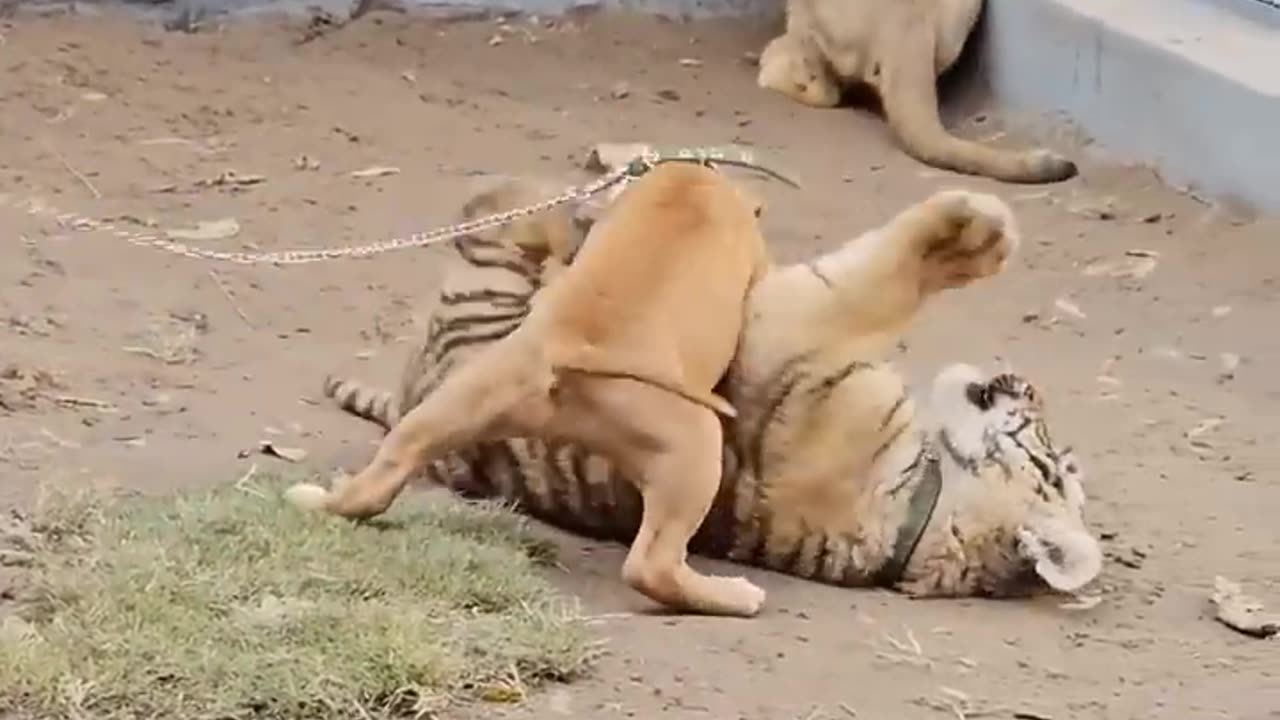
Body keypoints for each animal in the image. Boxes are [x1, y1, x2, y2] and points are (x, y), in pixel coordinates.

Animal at [290, 162, 768, 617]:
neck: (689, 181)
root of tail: (560, 352)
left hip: (449, 408)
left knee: (377, 481)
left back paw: (312, 497)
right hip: (695, 444)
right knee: (651, 566)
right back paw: (737, 596)